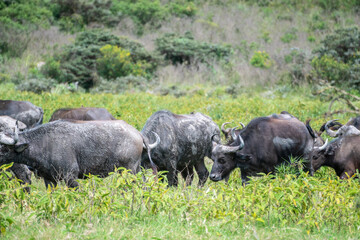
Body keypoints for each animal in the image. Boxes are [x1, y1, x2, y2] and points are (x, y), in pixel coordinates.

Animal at [0, 119, 159, 188]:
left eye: (3, 148)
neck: (45, 143)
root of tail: (137, 133)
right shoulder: (49, 180)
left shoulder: (71, 177)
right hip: (136, 170)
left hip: (128, 171)